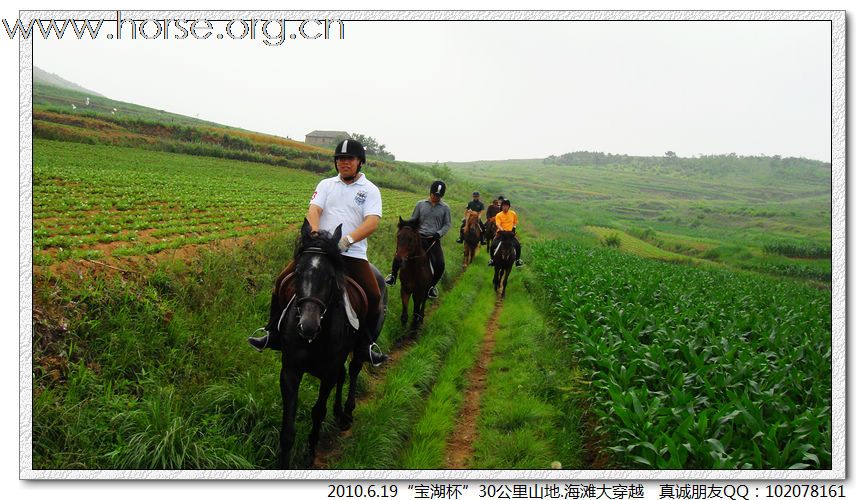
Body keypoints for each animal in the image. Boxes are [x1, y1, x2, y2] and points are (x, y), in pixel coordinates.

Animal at [270, 221, 382, 466]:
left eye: (330, 277)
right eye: (297, 273)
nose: (308, 326)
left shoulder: (328, 373)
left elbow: (318, 412)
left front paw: (310, 453)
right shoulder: (290, 371)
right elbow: (288, 425)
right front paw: (284, 461)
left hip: (358, 350)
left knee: (353, 371)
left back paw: (347, 413)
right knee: (343, 376)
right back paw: (339, 413)